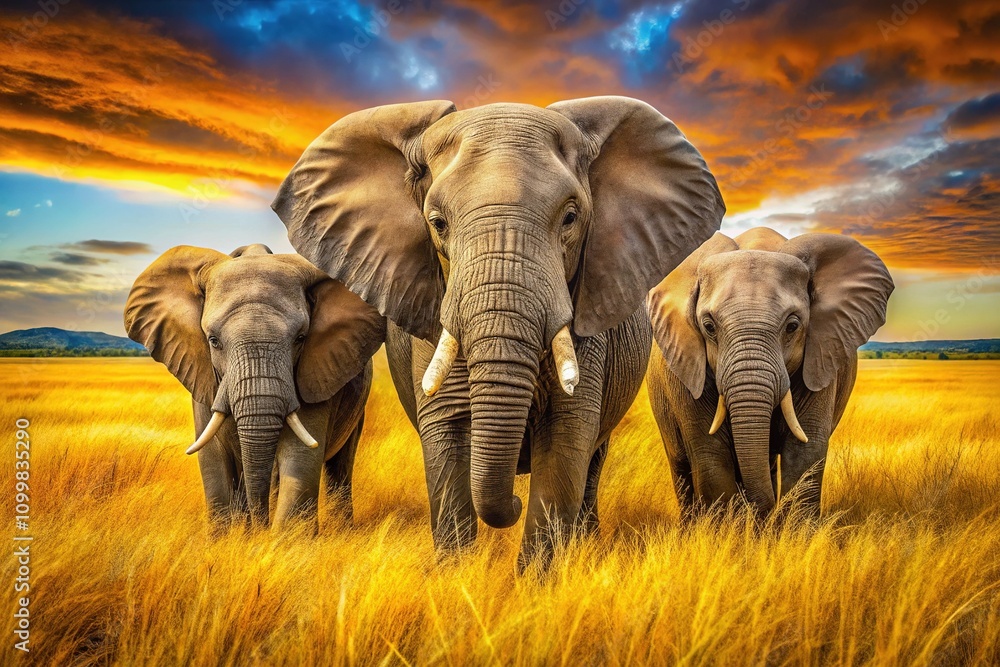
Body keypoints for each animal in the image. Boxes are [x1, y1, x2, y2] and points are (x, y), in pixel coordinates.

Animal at [124, 243, 385, 530]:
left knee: (341, 465)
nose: (261, 525)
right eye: (213, 341)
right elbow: (213, 458)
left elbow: (300, 458)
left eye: (300, 338)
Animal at [270, 96, 725, 567]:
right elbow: (447, 432)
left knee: (593, 460)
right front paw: (458, 573)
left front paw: (538, 578)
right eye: (437, 223)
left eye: (570, 217)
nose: (514, 502)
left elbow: (566, 440)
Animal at [646, 227, 894, 518]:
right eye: (708, 326)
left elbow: (805, 453)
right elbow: (711, 454)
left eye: (793, 326)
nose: (763, 512)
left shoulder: (821, 356)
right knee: (681, 464)